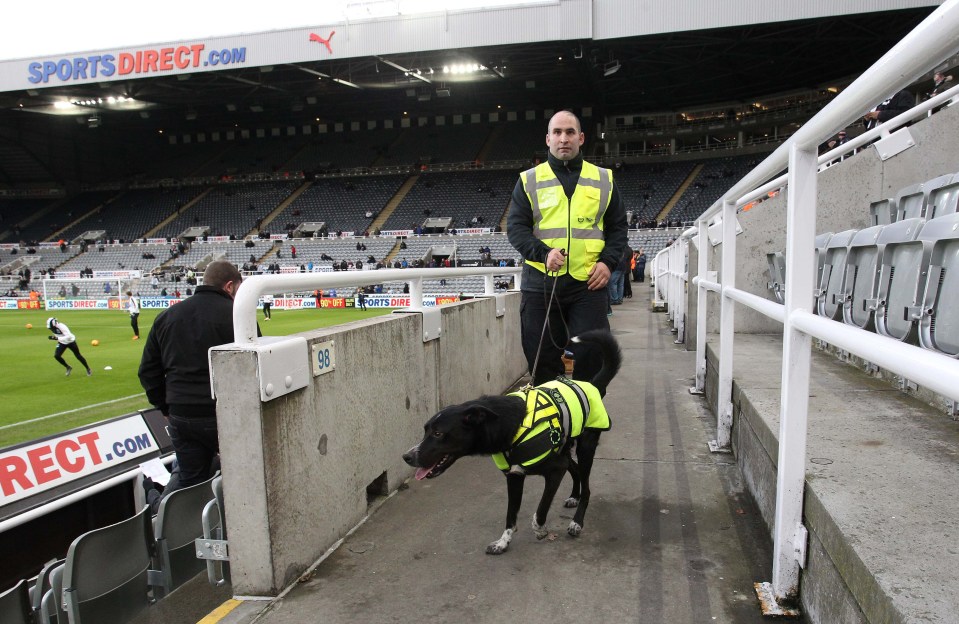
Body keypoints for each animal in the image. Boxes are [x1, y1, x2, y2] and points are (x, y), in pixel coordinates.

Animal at [400, 332, 620, 556]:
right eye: (425, 430)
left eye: (438, 433)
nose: (407, 456)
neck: (509, 425)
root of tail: (592, 384)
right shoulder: (514, 476)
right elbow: (510, 515)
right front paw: (503, 542)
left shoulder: (555, 470)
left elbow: (540, 510)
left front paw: (540, 530)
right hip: (565, 449)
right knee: (573, 469)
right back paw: (574, 496)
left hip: (585, 449)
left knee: (586, 486)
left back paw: (577, 521)